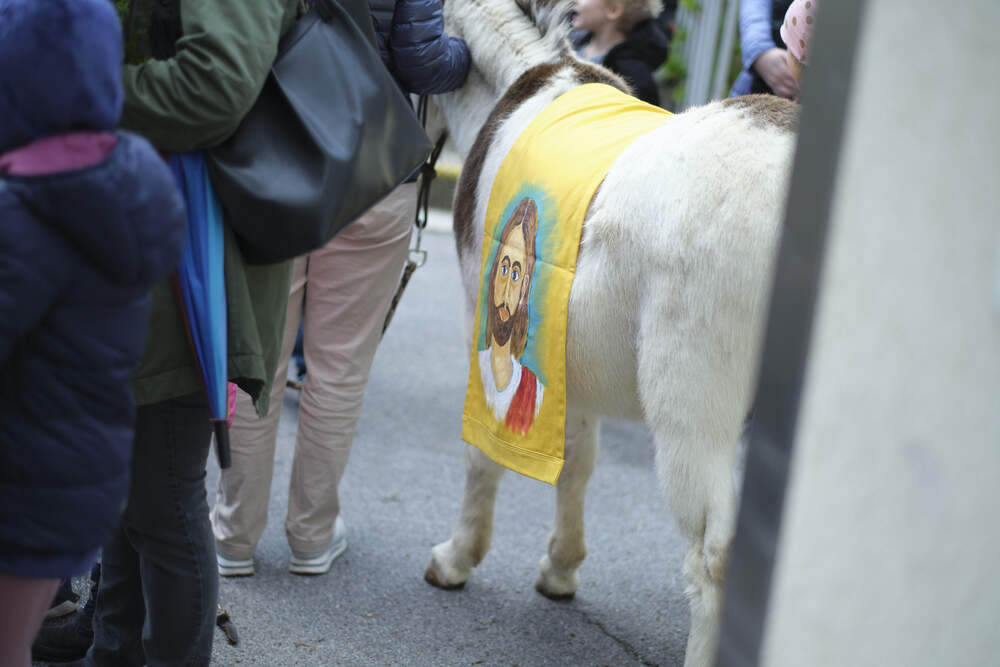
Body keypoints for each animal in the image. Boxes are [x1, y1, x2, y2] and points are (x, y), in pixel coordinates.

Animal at [422, 2, 798, 664]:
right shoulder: (562, 356)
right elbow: (575, 459)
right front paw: (561, 569)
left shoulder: (484, 325)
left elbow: (481, 454)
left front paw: (457, 559)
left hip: (693, 398)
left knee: (714, 557)